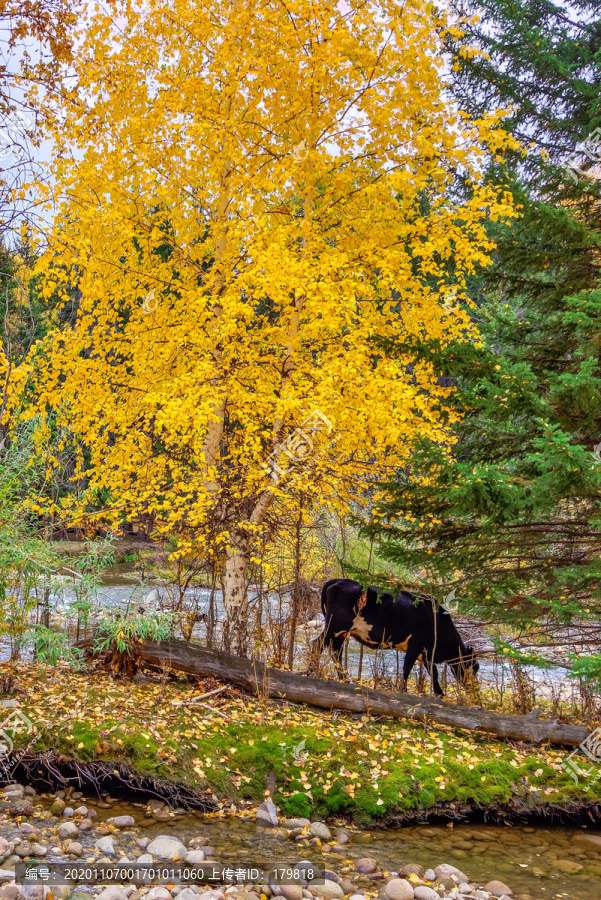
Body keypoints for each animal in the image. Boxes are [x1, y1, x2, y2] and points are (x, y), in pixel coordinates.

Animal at [314, 576, 478, 696]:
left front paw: (439, 694)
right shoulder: (415, 646)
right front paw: (403, 691)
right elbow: (407, 669)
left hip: (341, 633)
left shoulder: (426, 653)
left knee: (336, 652)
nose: (474, 689)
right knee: (318, 645)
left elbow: (434, 673)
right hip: (334, 626)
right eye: (474, 667)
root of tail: (339, 580)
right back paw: (312, 671)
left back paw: (344, 679)